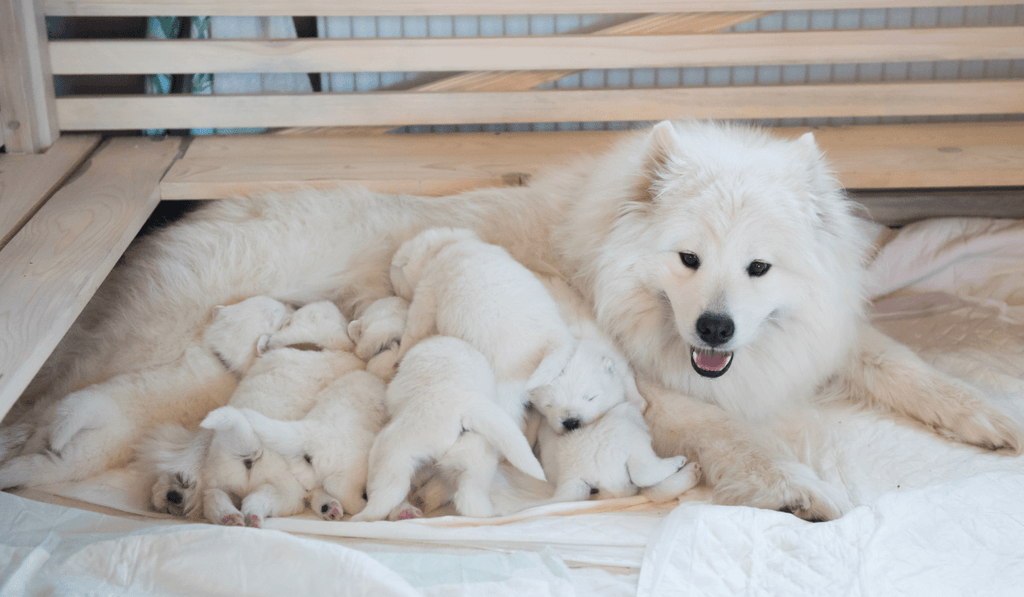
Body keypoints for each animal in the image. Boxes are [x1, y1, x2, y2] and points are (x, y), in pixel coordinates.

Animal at [0, 294, 292, 491]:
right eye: (275, 314)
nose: (291, 306)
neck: (221, 359)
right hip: (83, 418)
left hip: (72, 436)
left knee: (40, 456)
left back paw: (16, 464)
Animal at [350, 335, 544, 524]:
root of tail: (463, 410)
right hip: (476, 461)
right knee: (470, 499)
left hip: (391, 454)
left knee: (385, 498)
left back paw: (365, 517)